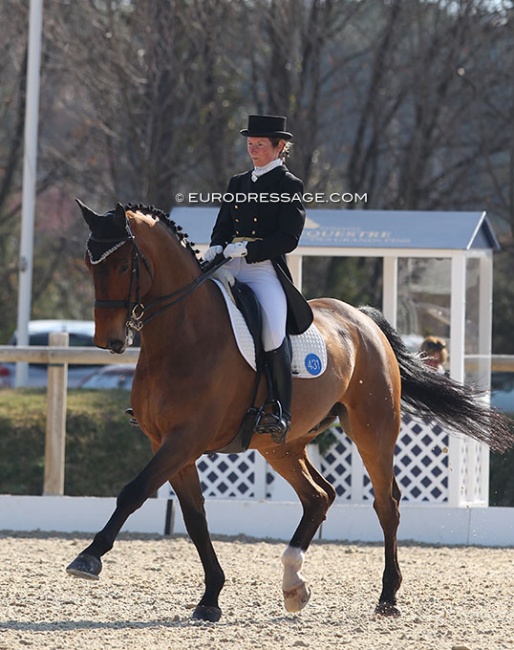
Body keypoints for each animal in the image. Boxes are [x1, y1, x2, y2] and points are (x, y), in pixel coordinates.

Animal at [68, 200, 512, 620]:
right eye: (89, 266)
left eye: (123, 264)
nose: (109, 341)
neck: (183, 336)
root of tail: (362, 320)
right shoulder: (167, 443)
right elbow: (194, 519)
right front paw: (211, 598)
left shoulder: (184, 439)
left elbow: (134, 491)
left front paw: (88, 557)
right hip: (280, 444)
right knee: (319, 496)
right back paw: (294, 584)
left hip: (373, 430)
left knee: (386, 504)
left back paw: (387, 597)